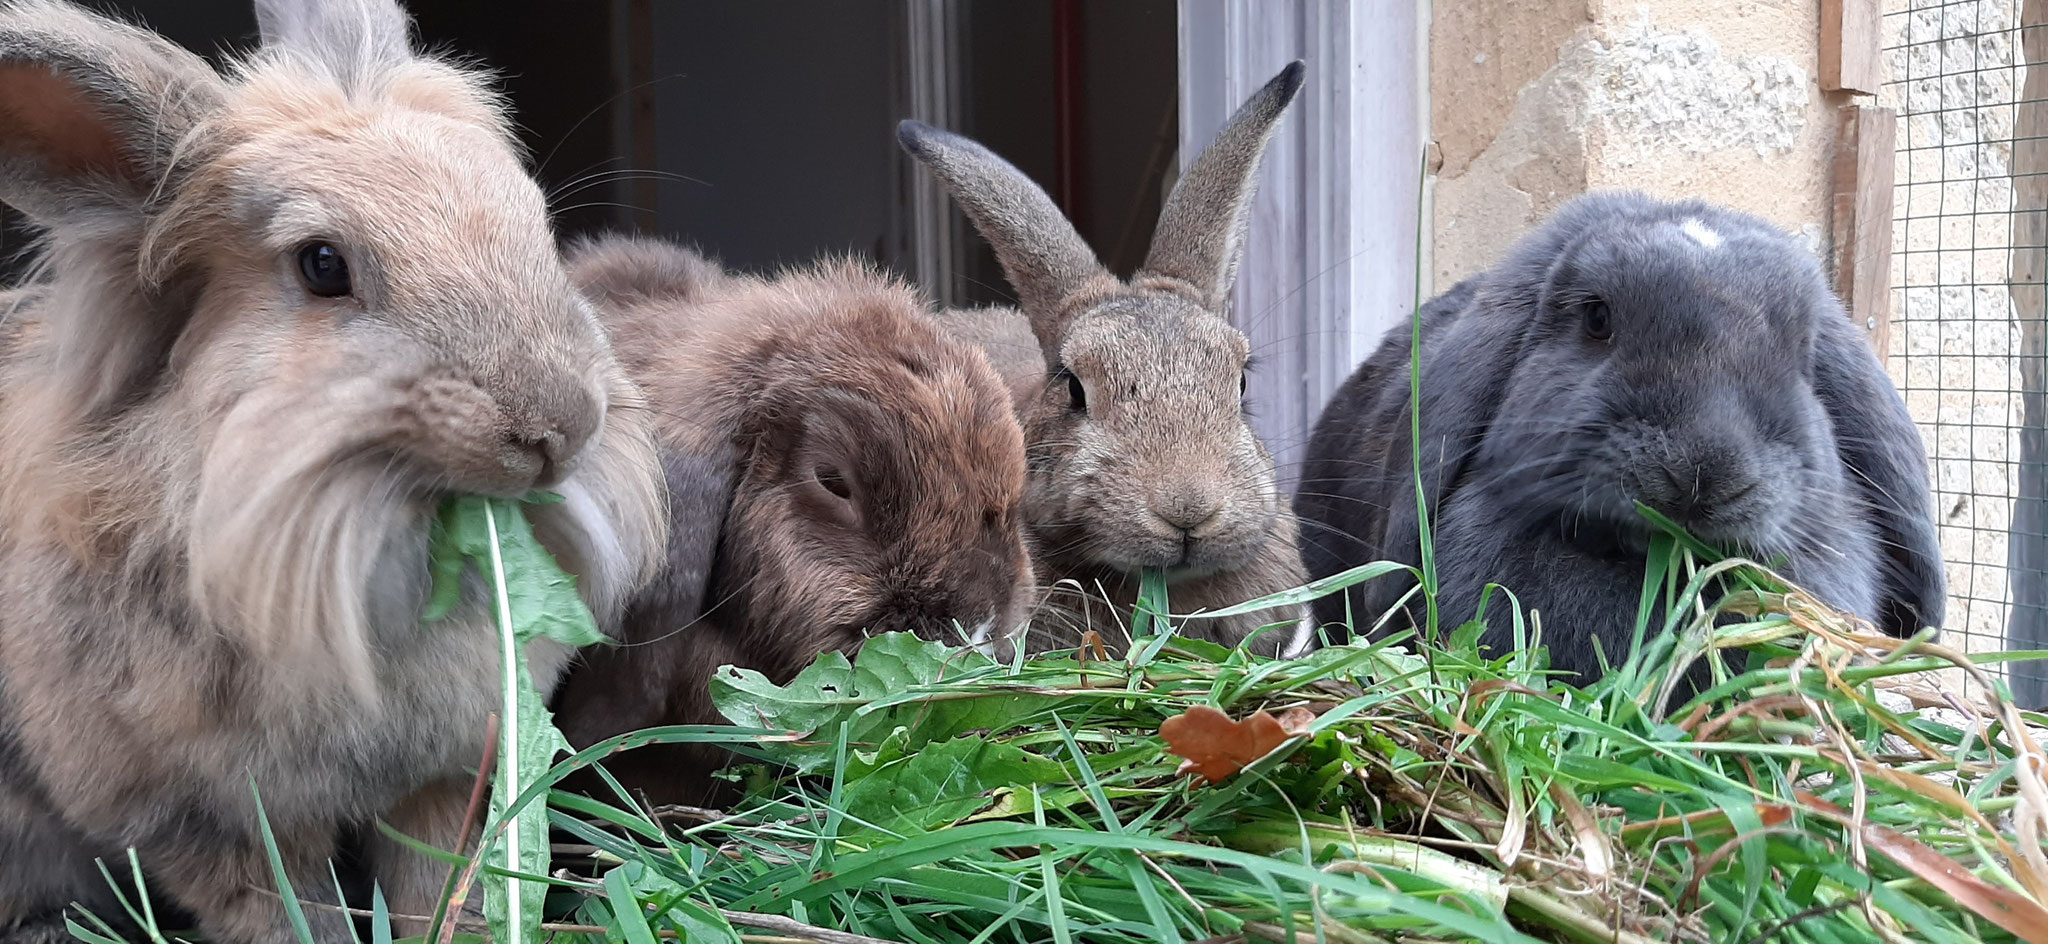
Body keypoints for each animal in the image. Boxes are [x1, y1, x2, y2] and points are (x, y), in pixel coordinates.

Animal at [0, 1, 663, 941]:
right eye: (322, 265)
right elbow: (286, 912)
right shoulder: (215, 826)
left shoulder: (443, 781)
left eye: (533, 221)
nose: (557, 428)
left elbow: (434, 885)